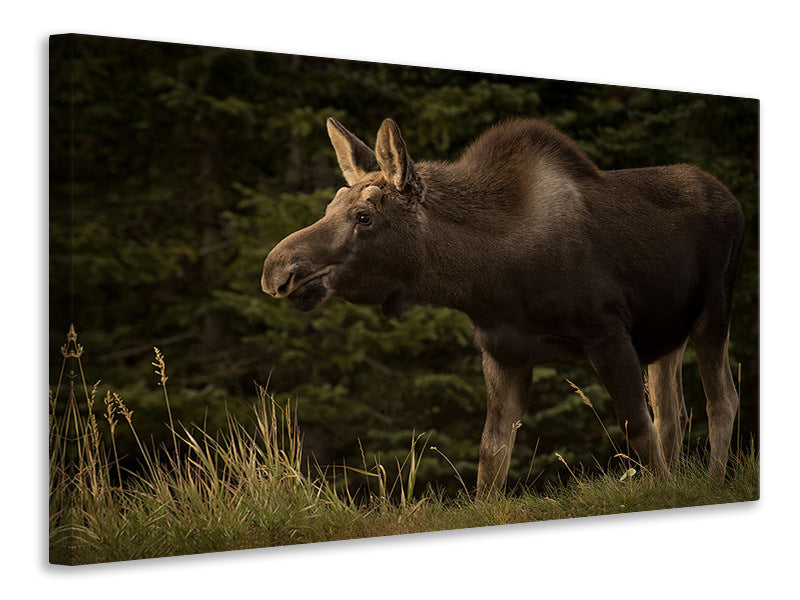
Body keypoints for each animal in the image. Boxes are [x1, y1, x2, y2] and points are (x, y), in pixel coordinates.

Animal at [262, 117, 744, 502]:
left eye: (364, 216)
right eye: (330, 206)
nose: (276, 270)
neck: (489, 279)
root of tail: (734, 201)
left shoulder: (607, 333)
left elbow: (637, 430)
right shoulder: (503, 353)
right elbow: (491, 458)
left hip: (714, 308)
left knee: (721, 399)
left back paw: (714, 483)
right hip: (665, 335)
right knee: (672, 411)